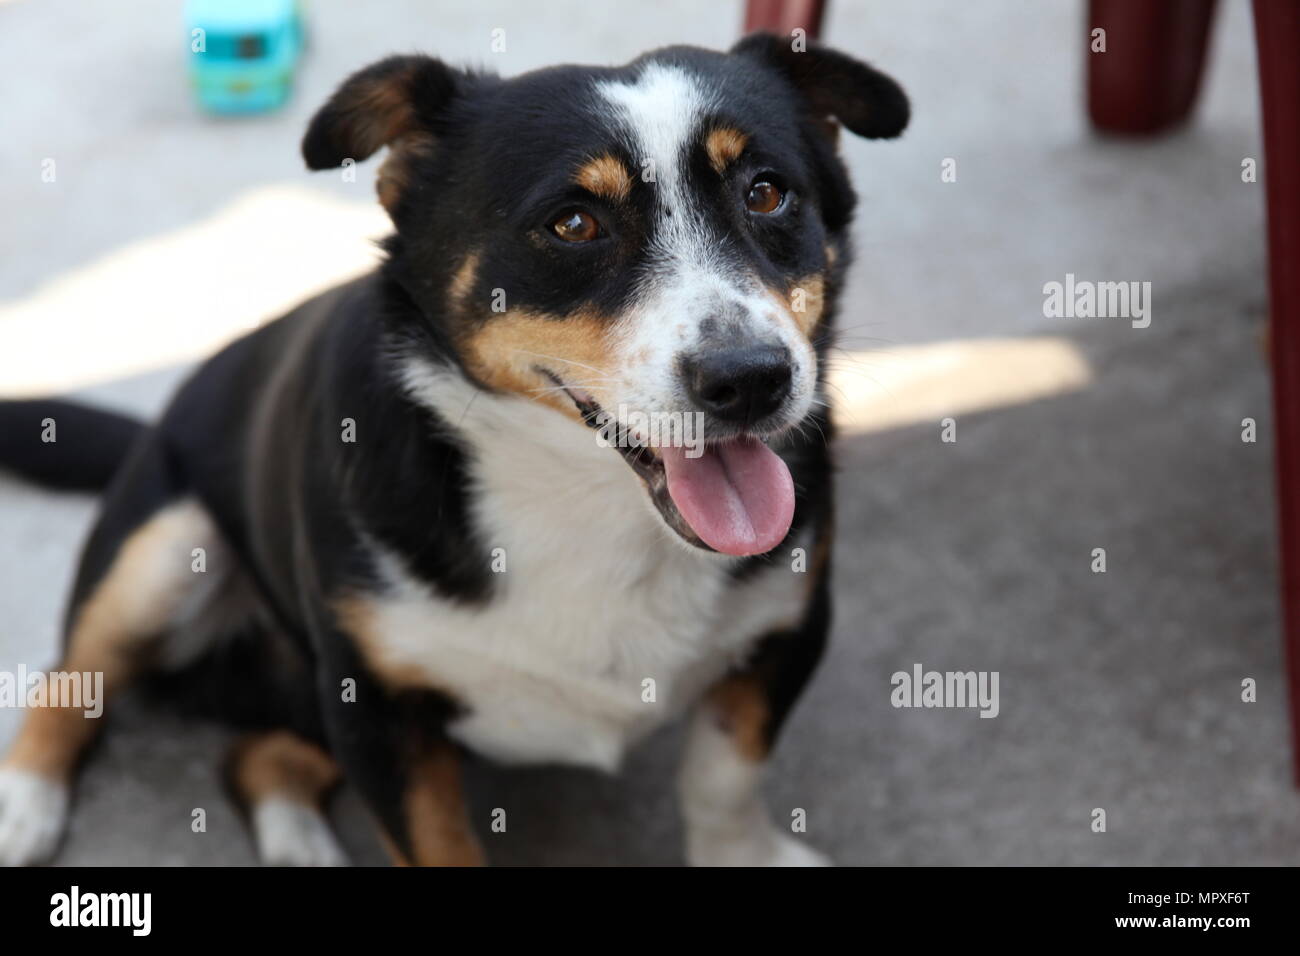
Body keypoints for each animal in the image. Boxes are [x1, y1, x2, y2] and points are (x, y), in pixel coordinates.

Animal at [0, 33, 909, 868]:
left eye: (767, 193)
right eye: (573, 222)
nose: (752, 380)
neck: (582, 498)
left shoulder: (788, 629)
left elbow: (723, 776)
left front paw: (740, 854)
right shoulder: (373, 706)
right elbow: (436, 843)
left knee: (258, 755)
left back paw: (301, 843)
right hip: (163, 549)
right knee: (71, 677)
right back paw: (24, 803)